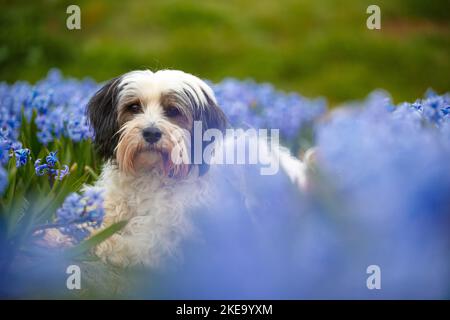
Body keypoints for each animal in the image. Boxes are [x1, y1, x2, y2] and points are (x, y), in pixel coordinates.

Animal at [85, 69, 308, 268]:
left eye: (173, 111)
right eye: (134, 107)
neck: (152, 174)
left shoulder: (178, 233)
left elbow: (149, 241)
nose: (151, 133)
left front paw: (110, 243)